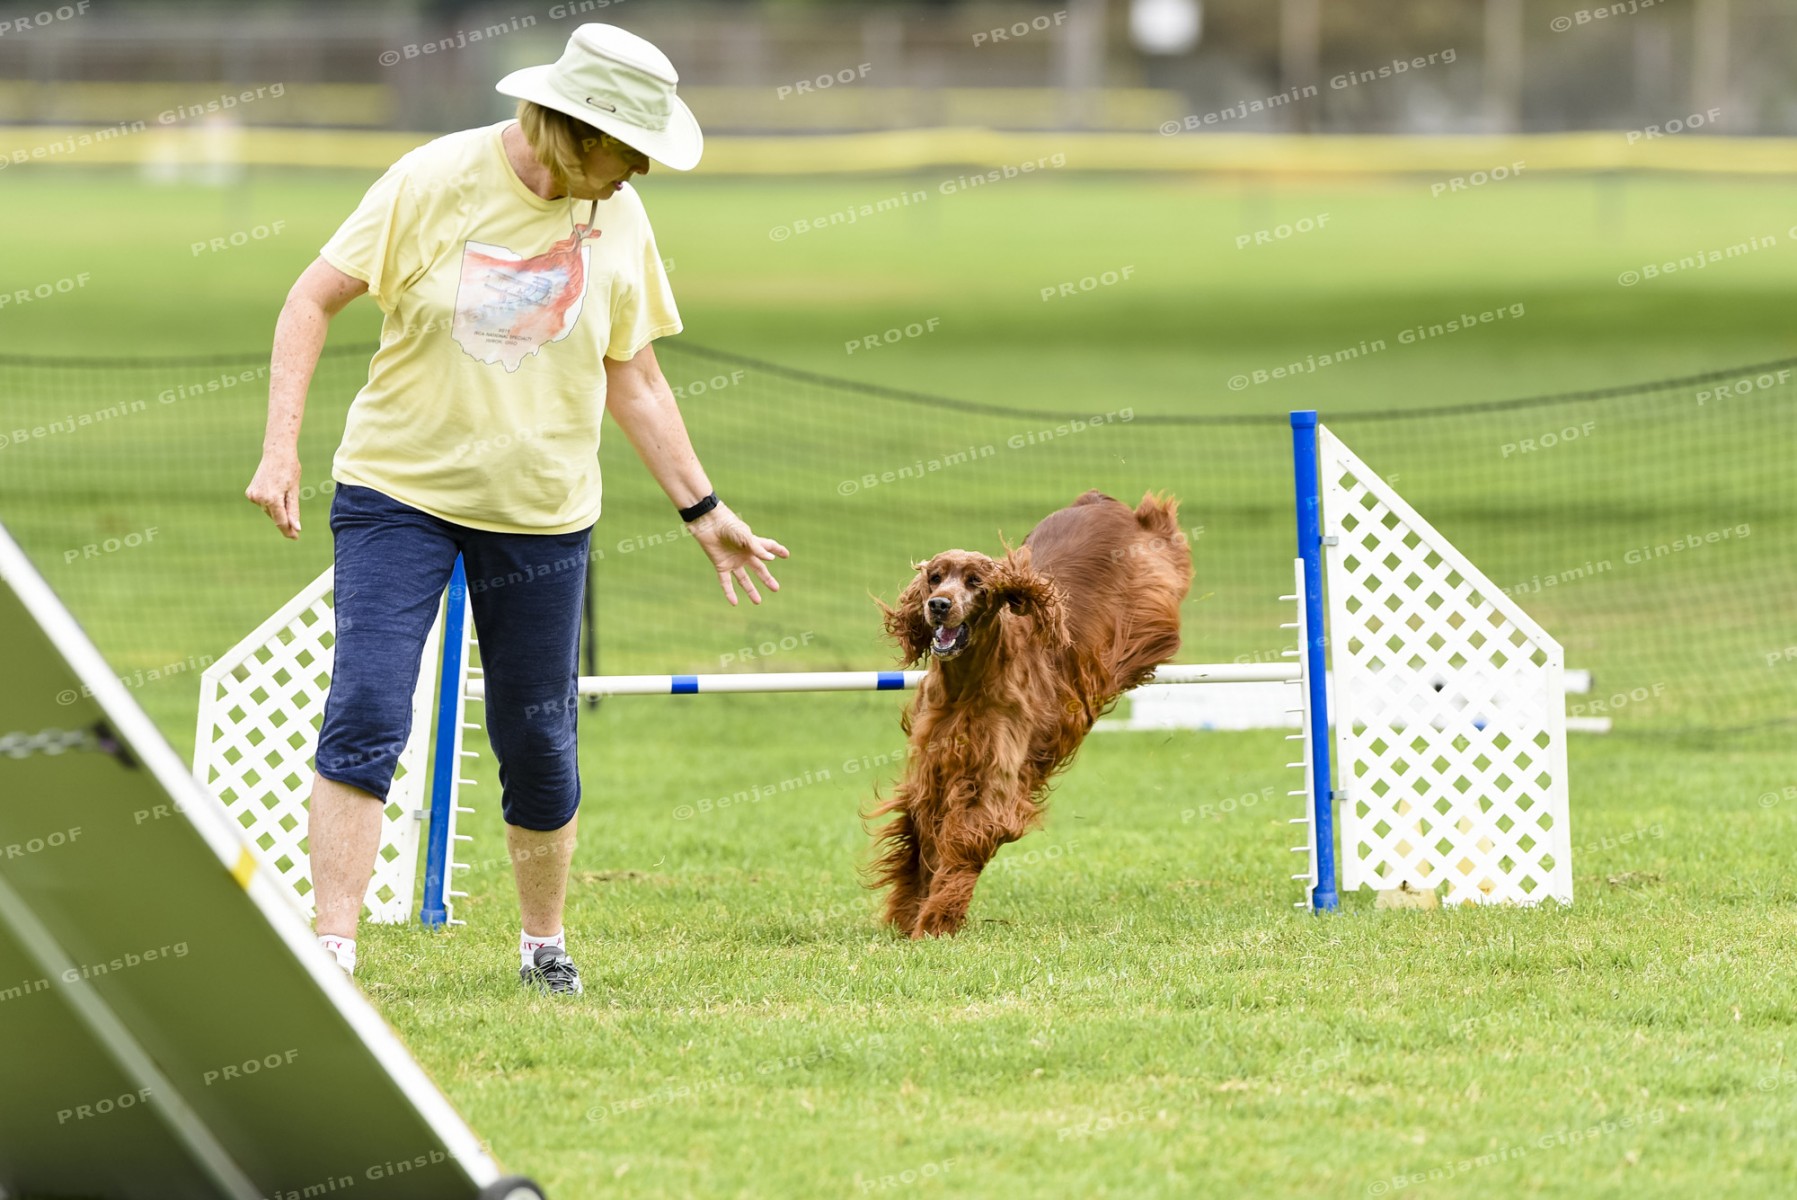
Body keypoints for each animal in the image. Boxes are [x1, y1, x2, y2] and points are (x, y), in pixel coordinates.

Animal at [868, 490, 1192, 937]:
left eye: (975, 581)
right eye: (935, 576)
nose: (938, 604)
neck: (966, 684)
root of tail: (1099, 500)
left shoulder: (994, 782)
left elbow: (963, 840)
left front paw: (937, 919)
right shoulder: (932, 769)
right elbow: (918, 839)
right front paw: (907, 912)